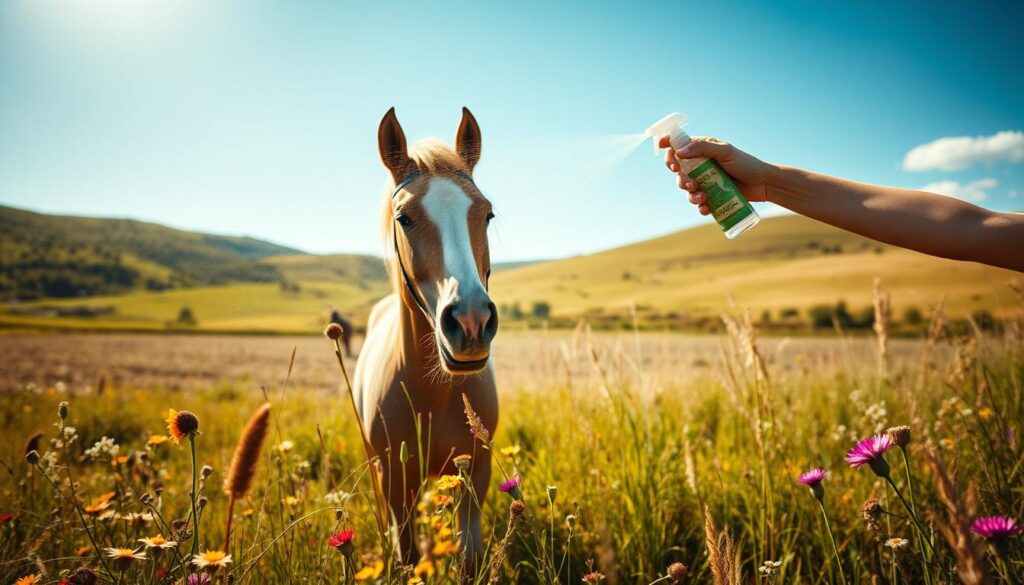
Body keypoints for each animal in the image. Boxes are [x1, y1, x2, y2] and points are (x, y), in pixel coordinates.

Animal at [354, 107, 501, 565]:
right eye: (404, 218)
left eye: (487, 214)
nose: (471, 321)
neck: (435, 396)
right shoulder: (395, 479)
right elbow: (406, 555)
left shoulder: (476, 472)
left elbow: (469, 556)